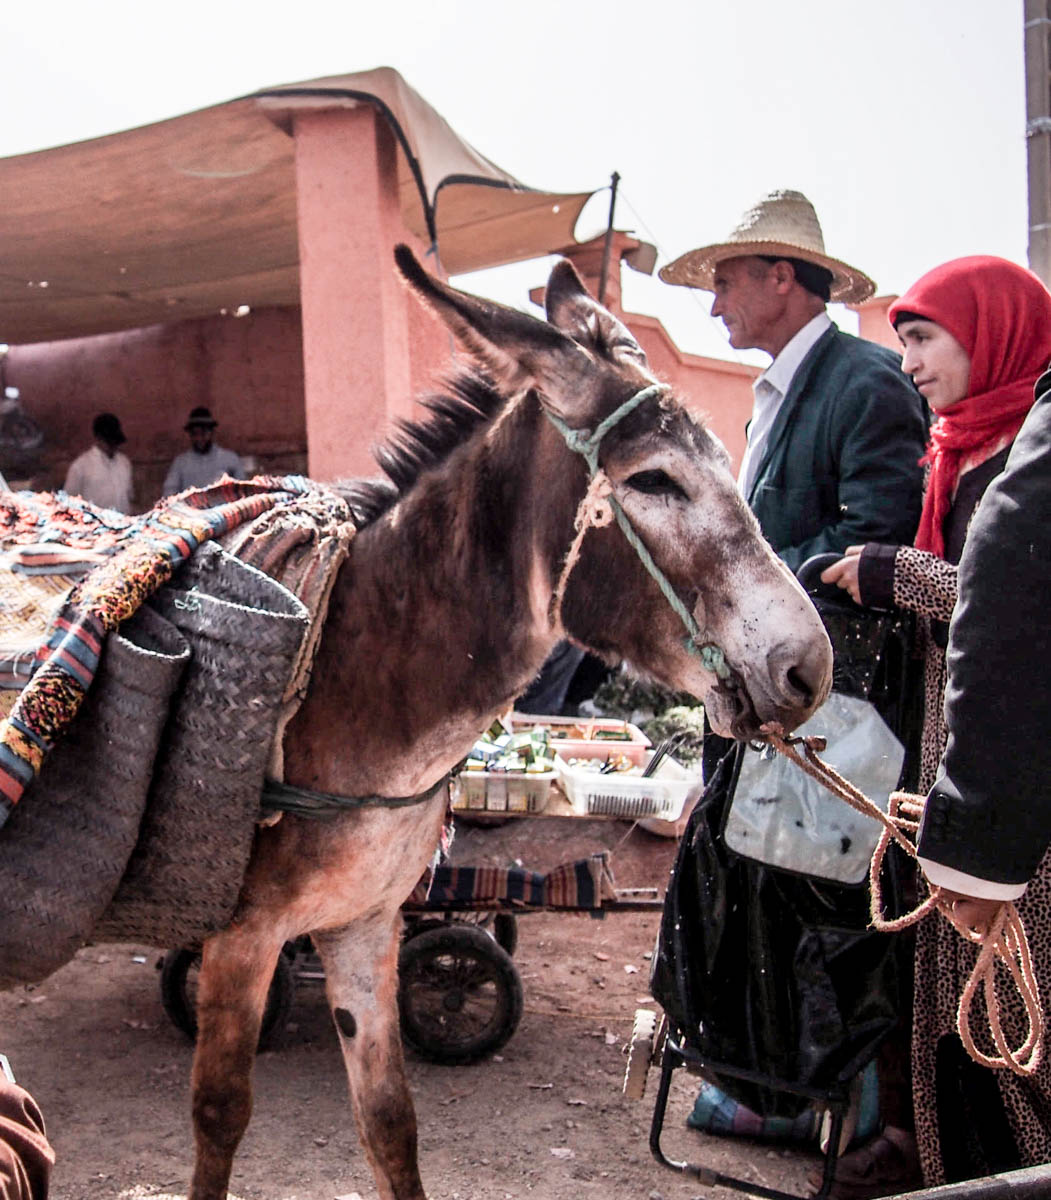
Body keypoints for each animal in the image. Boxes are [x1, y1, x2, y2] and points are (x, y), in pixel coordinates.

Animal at [155, 246, 833, 1199]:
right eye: (653, 479)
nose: (809, 669)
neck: (346, 676)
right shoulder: (240, 939)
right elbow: (220, 1117)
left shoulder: (364, 925)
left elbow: (390, 1120)